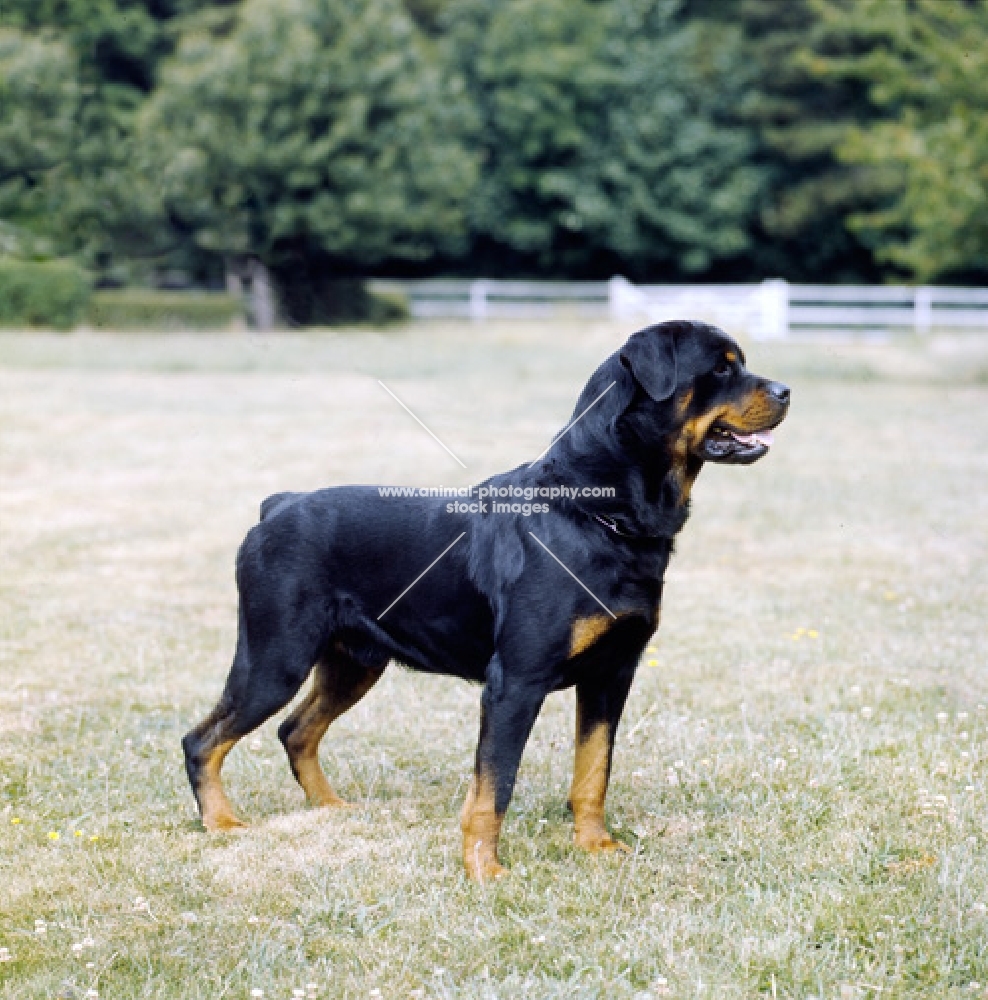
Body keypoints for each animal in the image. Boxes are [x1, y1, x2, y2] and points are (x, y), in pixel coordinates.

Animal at [183, 324, 788, 880]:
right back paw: (222, 822)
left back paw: (331, 808)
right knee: (203, 739)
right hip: (275, 657)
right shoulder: (515, 681)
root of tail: (276, 506)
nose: (785, 391)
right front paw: (484, 870)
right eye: (720, 368)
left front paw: (594, 846)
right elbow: (494, 785)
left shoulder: (612, 673)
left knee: (296, 731)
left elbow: (594, 770)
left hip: (354, 662)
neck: (598, 514)